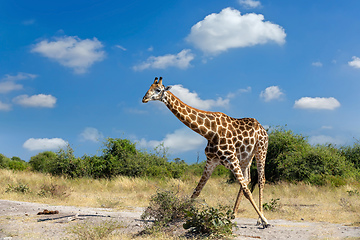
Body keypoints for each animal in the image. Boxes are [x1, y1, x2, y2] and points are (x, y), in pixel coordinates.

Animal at [142, 77, 268, 227]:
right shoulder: (211, 161)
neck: (209, 132)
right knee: (248, 179)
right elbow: (196, 191)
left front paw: (265, 220)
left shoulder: (231, 158)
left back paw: (260, 219)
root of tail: (263, 129)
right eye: (148, 87)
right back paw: (233, 215)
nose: (144, 99)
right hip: (246, 158)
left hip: (261, 150)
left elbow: (247, 191)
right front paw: (178, 214)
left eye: (158, 89)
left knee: (260, 180)